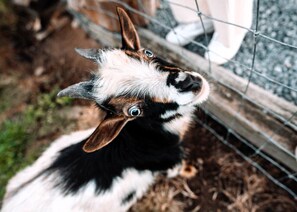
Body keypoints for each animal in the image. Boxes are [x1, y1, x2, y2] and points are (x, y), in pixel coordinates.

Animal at [1, 7, 208, 211]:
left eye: (148, 52)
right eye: (134, 111)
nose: (187, 82)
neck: (140, 141)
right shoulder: (169, 161)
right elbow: (177, 167)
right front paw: (190, 170)